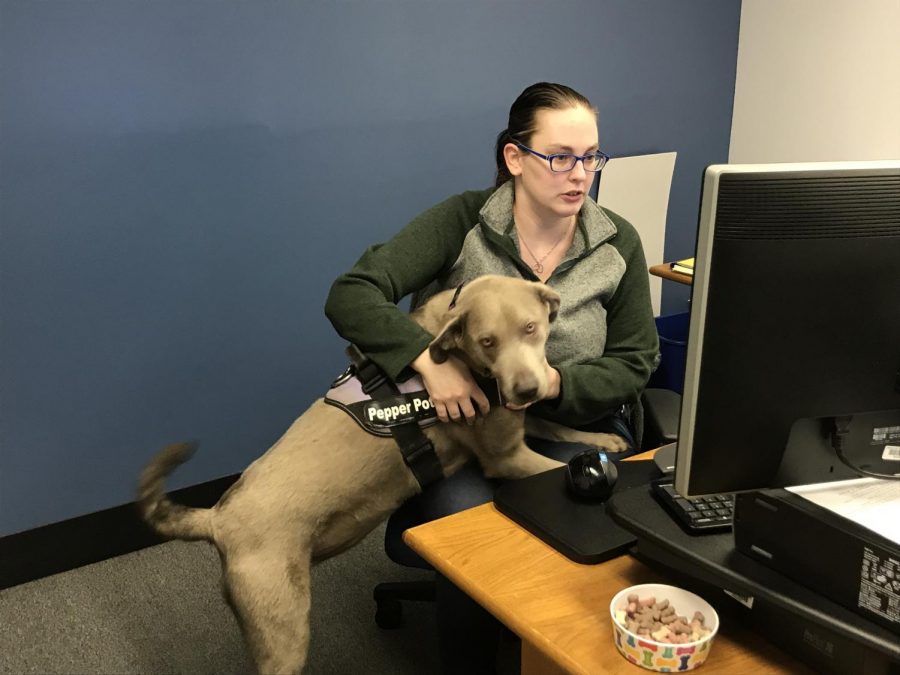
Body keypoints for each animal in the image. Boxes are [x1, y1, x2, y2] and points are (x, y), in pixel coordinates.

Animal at [137, 276, 624, 675]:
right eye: (488, 341)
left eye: (530, 328)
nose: (525, 389)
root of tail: (216, 517)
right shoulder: (506, 457)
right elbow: (557, 467)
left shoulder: (518, 426)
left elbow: (559, 427)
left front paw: (605, 438)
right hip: (283, 629)